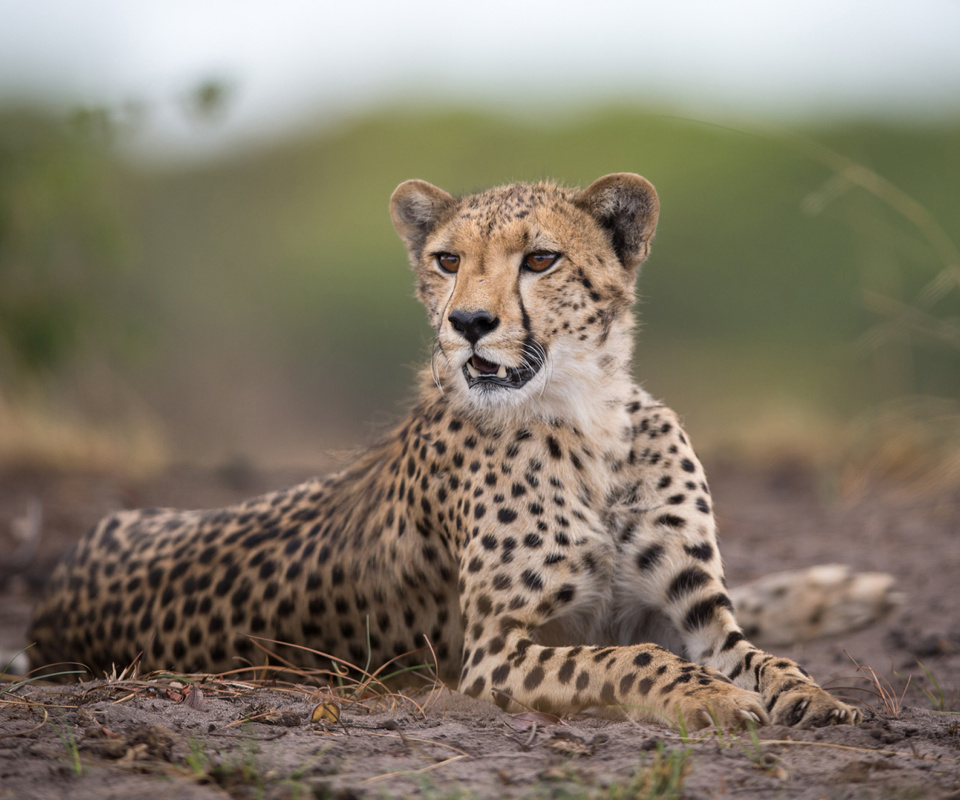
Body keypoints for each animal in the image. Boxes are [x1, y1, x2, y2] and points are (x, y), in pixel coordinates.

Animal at [28, 175, 884, 732]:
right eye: (447, 260)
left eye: (540, 259)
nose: (468, 322)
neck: (588, 420)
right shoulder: (495, 653)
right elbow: (633, 660)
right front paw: (713, 697)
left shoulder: (696, 610)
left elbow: (764, 657)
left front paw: (816, 696)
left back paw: (844, 590)